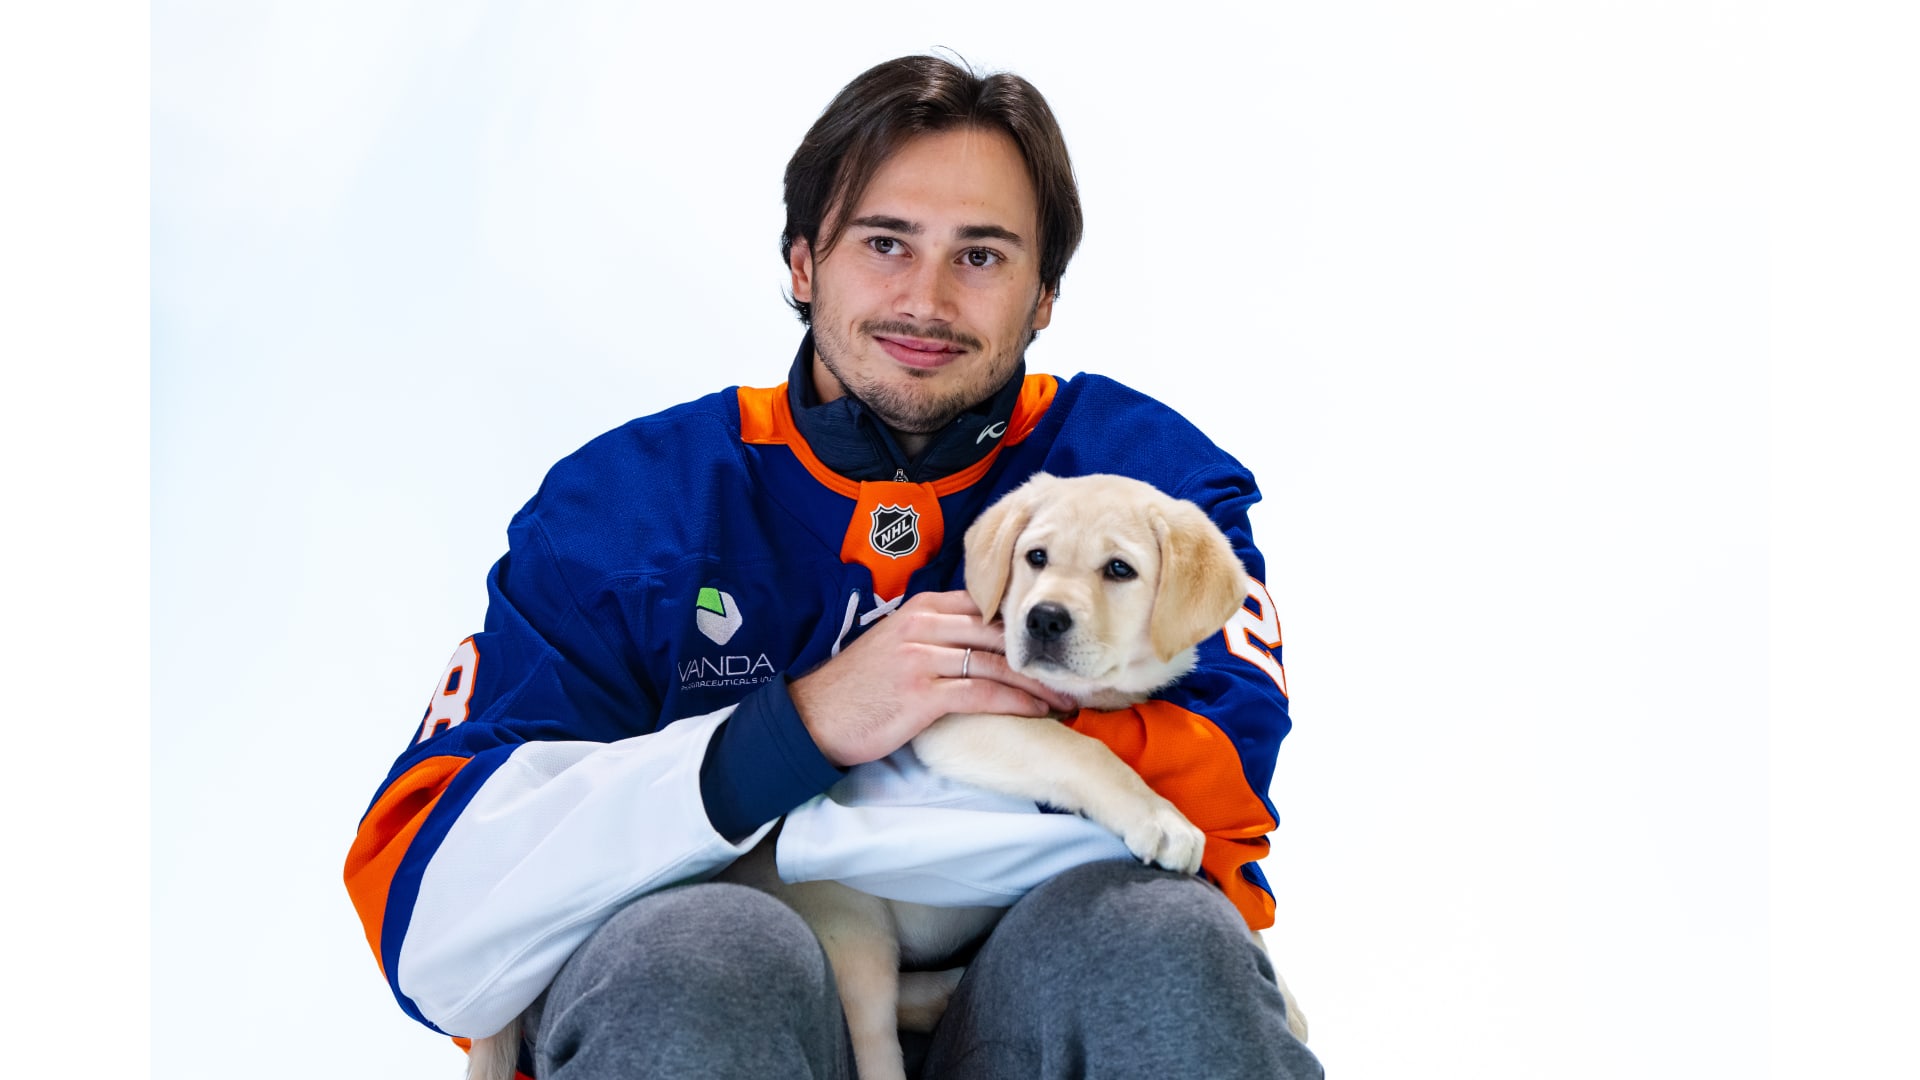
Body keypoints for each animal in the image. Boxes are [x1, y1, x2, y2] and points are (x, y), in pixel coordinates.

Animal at [469, 472, 1278, 1080]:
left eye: (1119, 571)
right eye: (1036, 558)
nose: (1043, 620)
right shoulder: (958, 721)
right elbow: (1079, 750)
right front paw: (1160, 817)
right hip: (848, 928)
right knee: (875, 1036)